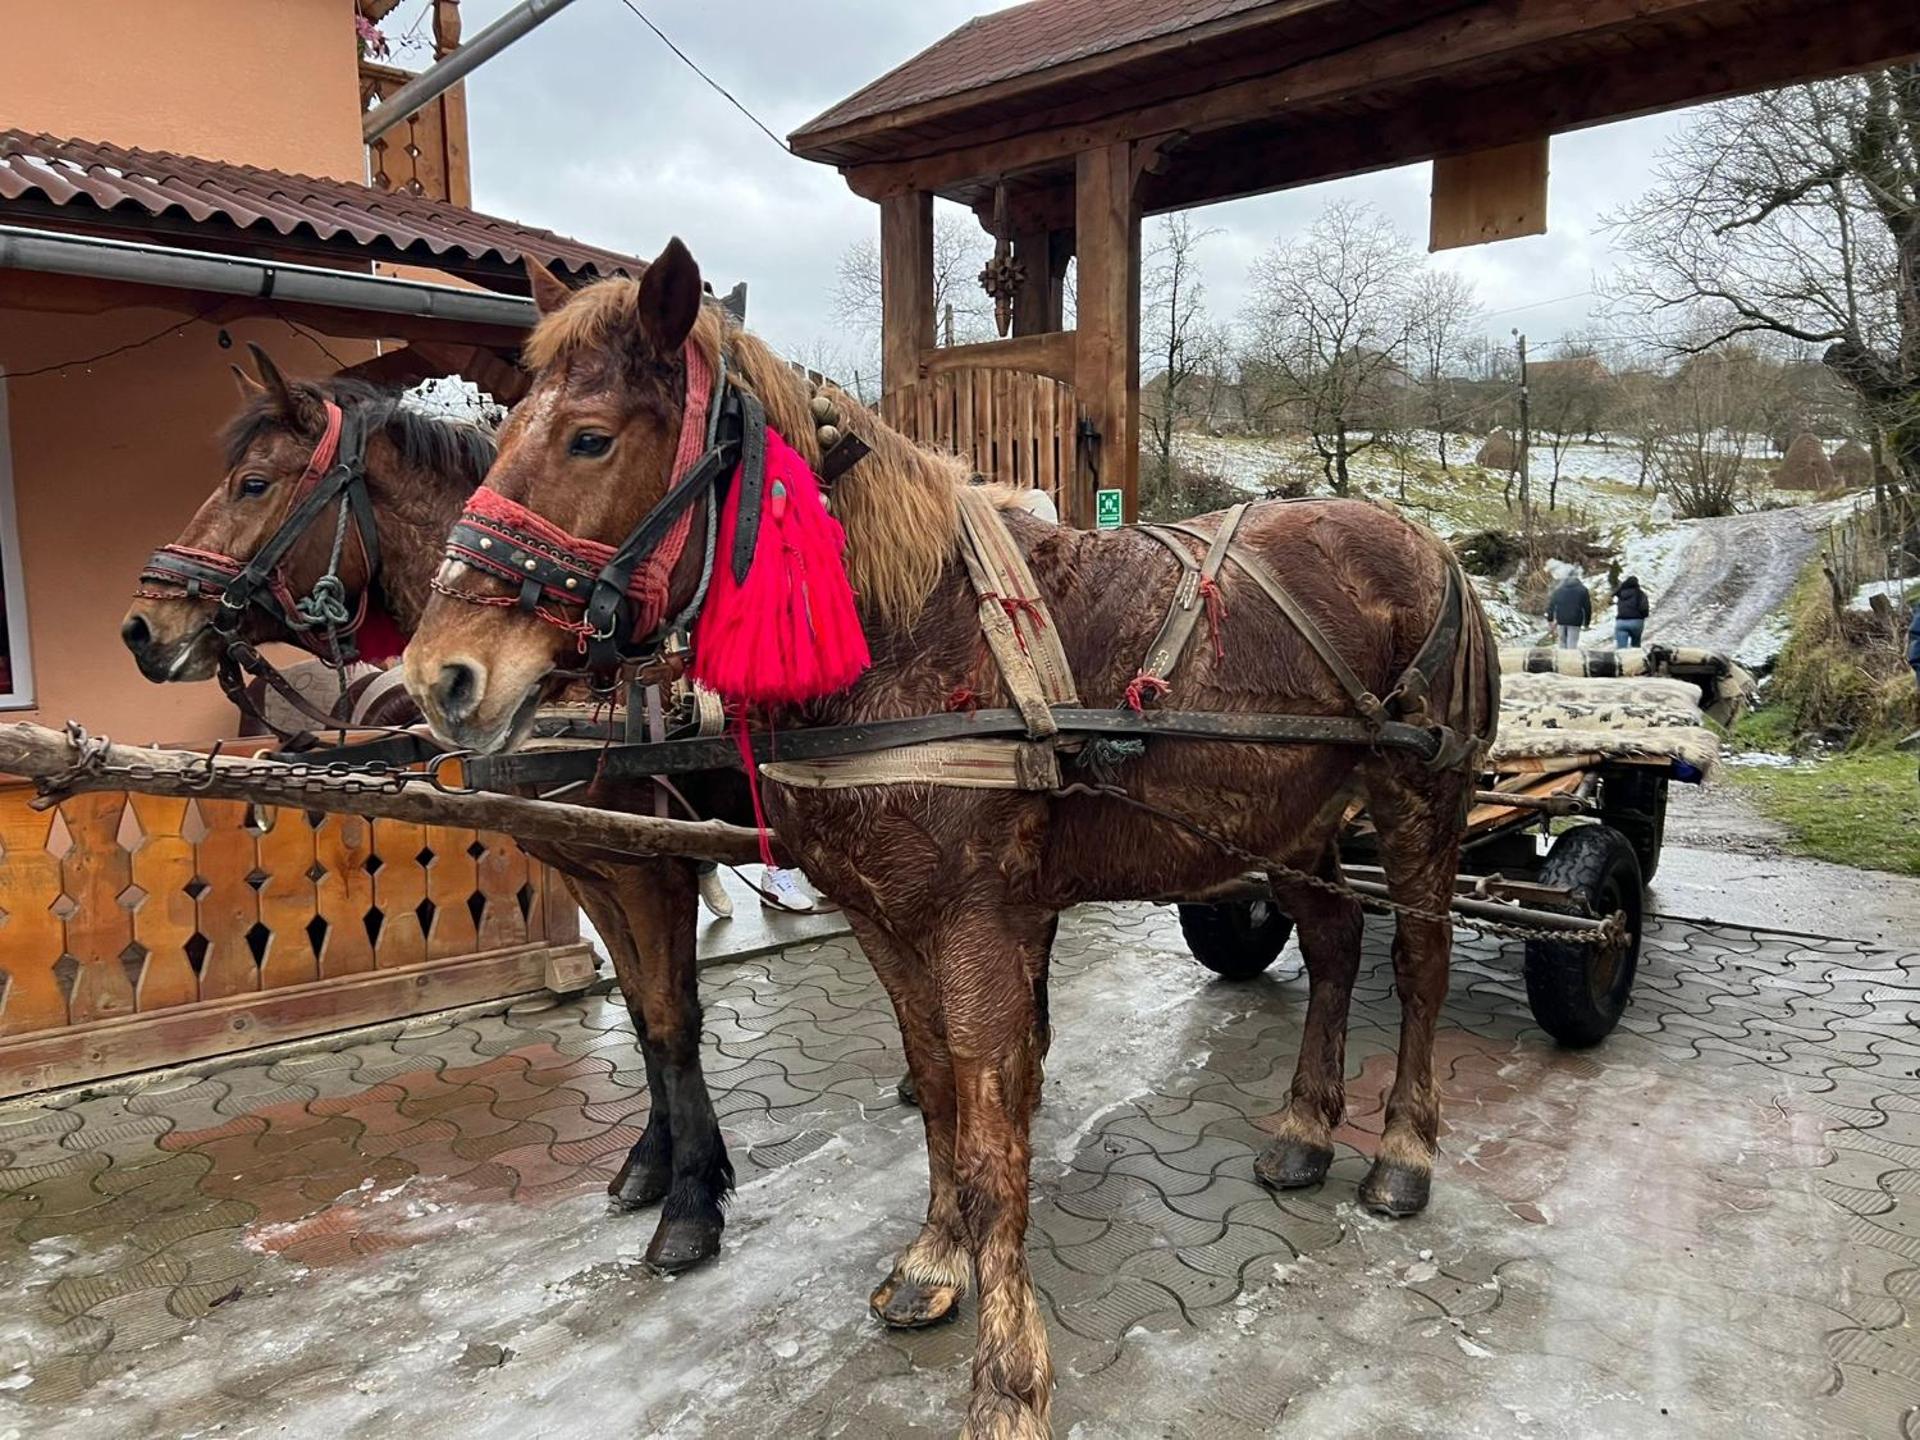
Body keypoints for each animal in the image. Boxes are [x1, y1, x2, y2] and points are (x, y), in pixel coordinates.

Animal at [120, 348, 741, 1273]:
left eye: (253, 483)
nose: (140, 627)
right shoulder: (594, 874)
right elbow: (638, 1014)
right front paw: (650, 1165)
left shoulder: (650, 870)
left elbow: (671, 1022)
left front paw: (694, 1199)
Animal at [400, 239, 1499, 1439]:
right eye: (506, 427)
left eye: (590, 437)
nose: (440, 676)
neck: (916, 630)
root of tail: (1429, 545)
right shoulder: (884, 918)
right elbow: (933, 1095)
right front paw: (934, 1262)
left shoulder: (975, 924)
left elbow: (988, 1146)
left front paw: (1010, 1376)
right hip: (1285, 819)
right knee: (1339, 942)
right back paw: (1305, 1128)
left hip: (1416, 802)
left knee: (1421, 961)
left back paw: (1402, 1150)